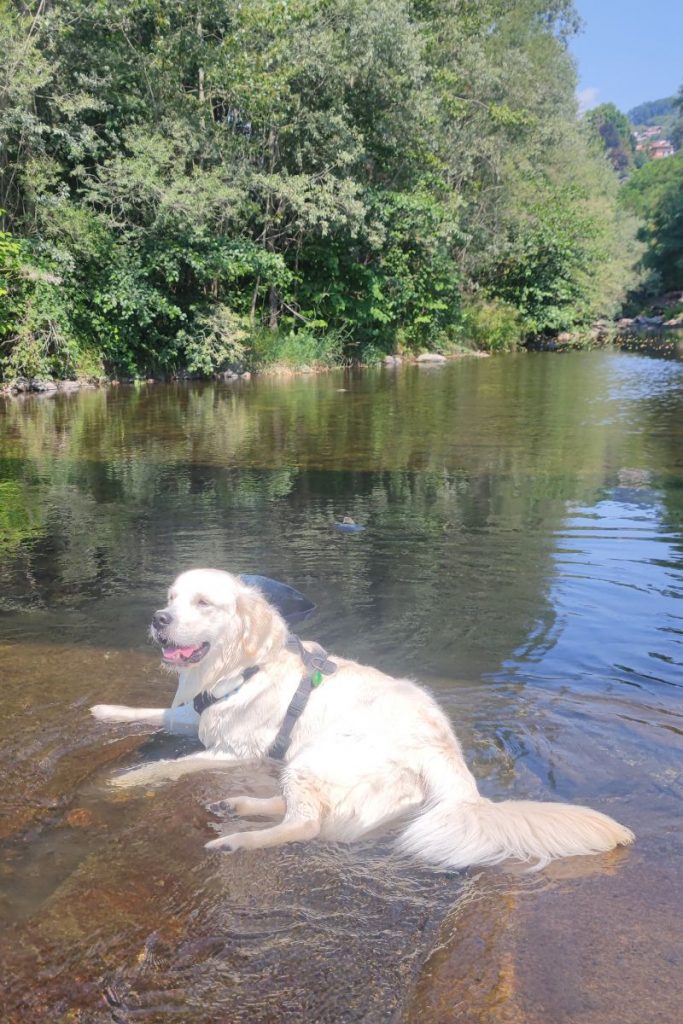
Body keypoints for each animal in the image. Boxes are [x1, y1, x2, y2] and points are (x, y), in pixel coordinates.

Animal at [92, 565, 634, 868]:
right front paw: (106, 709)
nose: (158, 619)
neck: (238, 667)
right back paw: (241, 805)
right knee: (304, 810)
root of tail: (452, 762)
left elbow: (171, 764)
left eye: (203, 603)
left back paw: (239, 840)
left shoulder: (232, 750)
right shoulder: (197, 716)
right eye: (171, 598)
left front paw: (126, 779)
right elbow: (160, 713)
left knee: (307, 824)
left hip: (320, 754)